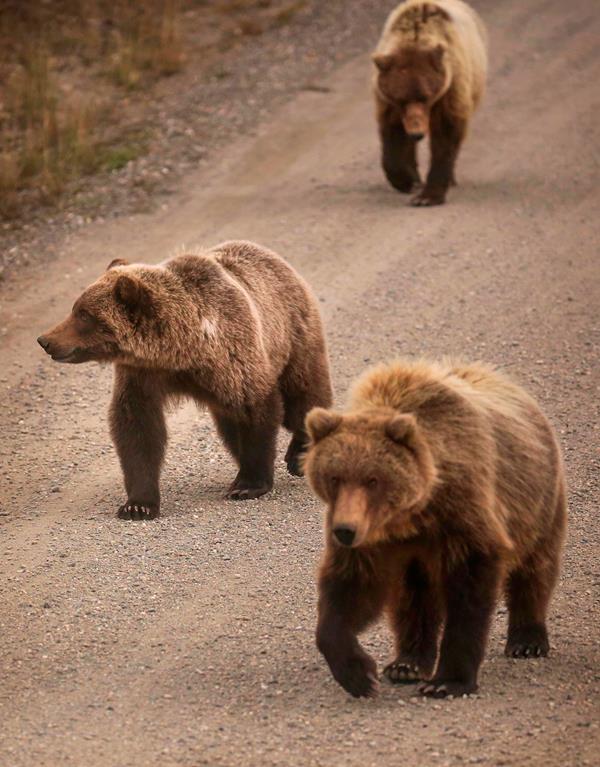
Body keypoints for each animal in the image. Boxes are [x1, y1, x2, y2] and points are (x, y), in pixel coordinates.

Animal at [37, 240, 333, 520]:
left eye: (84, 314)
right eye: (75, 309)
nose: (45, 340)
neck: (181, 350)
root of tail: (276, 258)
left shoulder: (234, 353)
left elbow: (255, 407)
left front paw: (248, 484)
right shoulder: (142, 374)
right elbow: (137, 427)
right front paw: (138, 505)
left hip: (293, 335)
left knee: (302, 395)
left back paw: (299, 453)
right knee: (230, 423)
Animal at [304, 359, 567, 698]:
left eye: (373, 479)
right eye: (335, 477)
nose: (345, 530)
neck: (412, 516)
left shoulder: (462, 517)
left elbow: (469, 593)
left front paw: (447, 681)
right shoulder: (373, 537)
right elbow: (350, 588)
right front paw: (359, 674)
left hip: (538, 501)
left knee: (535, 567)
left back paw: (527, 639)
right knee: (413, 597)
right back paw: (407, 662)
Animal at [372, 0, 488, 206]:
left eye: (425, 96)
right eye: (401, 99)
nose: (417, 133)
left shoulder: (450, 89)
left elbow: (445, 136)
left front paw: (427, 196)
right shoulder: (389, 102)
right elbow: (392, 134)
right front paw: (406, 180)